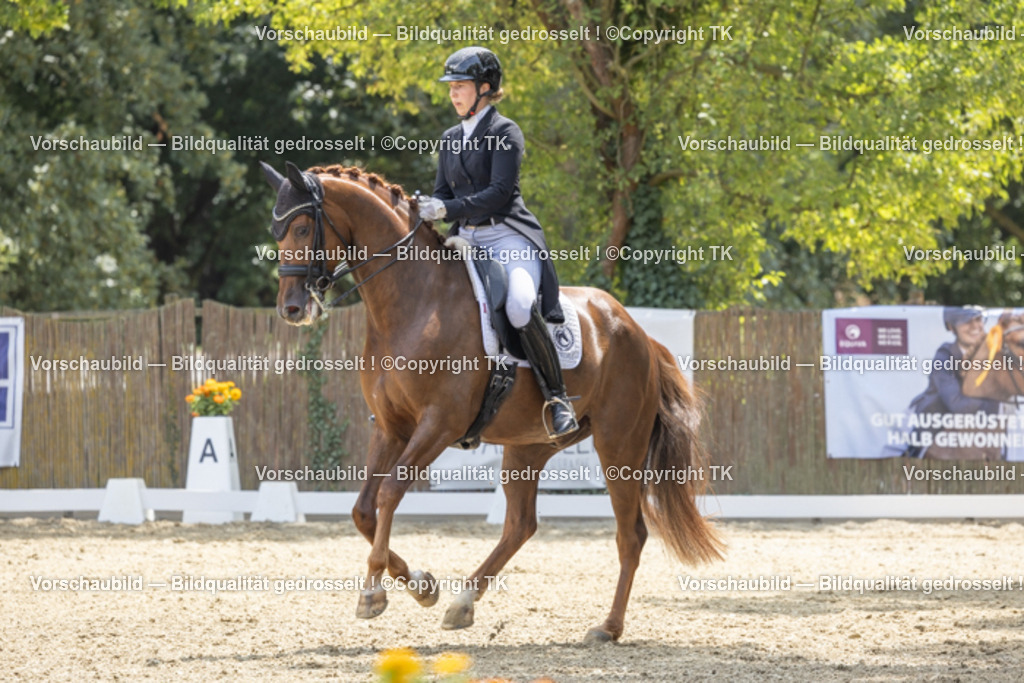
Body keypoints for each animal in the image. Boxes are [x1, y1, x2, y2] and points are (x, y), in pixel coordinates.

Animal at [260, 161, 724, 644]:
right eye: (276, 231)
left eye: (301, 227)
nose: (290, 309)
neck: (414, 302)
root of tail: (639, 334)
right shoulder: (390, 427)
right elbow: (363, 510)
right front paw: (423, 585)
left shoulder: (438, 425)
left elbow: (389, 493)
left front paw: (373, 593)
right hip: (529, 445)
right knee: (521, 524)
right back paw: (463, 602)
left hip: (619, 445)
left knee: (630, 535)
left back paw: (608, 627)